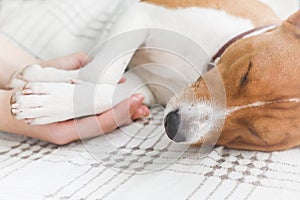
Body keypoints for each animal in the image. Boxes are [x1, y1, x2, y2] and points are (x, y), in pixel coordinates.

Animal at [8, 0, 298, 150]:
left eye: (255, 135)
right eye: (246, 73)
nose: (173, 126)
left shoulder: (143, 83)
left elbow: (104, 89)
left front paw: (49, 100)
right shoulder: (141, 12)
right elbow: (102, 71)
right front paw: (41, 77)